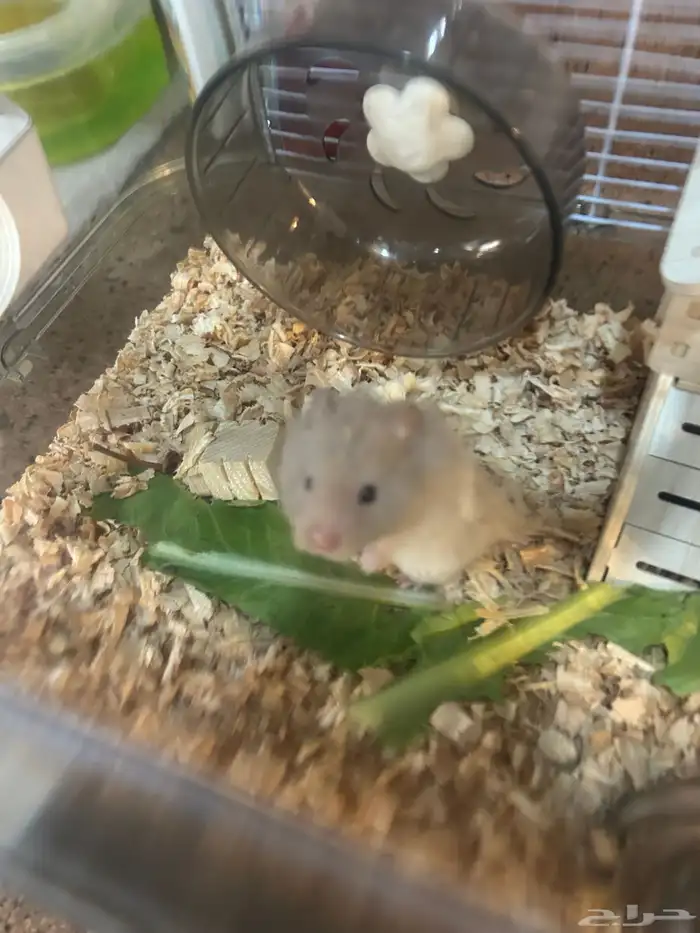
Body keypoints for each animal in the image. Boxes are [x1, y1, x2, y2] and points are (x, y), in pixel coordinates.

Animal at [275, 387, 532, 586]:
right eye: (308, 482)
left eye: (369, 494)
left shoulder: (420, 527)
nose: (321, 544)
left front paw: (365, 566)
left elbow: (387, 545)